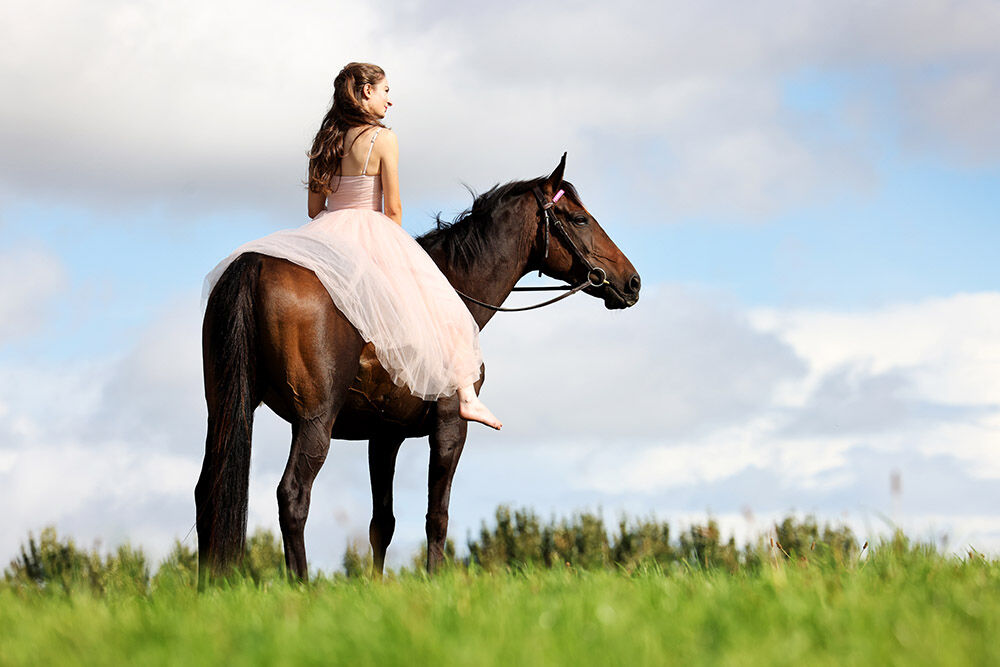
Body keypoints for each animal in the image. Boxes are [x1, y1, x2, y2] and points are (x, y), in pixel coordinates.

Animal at [196, 154, 640, 582]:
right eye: (580, 219)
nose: (633, 282)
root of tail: (254, 264)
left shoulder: (384, 437)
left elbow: (382, 523)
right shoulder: (450, 427)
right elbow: (436, 516)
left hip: (224, 413)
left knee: (207, 494)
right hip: (314, 422)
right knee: (292, 495)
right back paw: (300, 585)